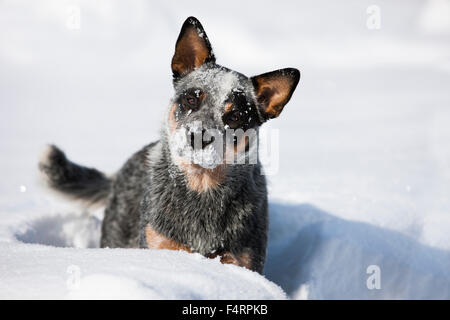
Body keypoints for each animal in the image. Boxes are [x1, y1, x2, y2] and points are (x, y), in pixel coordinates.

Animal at [38, 16, 298, 274]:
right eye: (191, 98)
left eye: (235, 116)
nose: (197, 136)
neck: (202, 188)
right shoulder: (161, 242)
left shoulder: (242, 257)